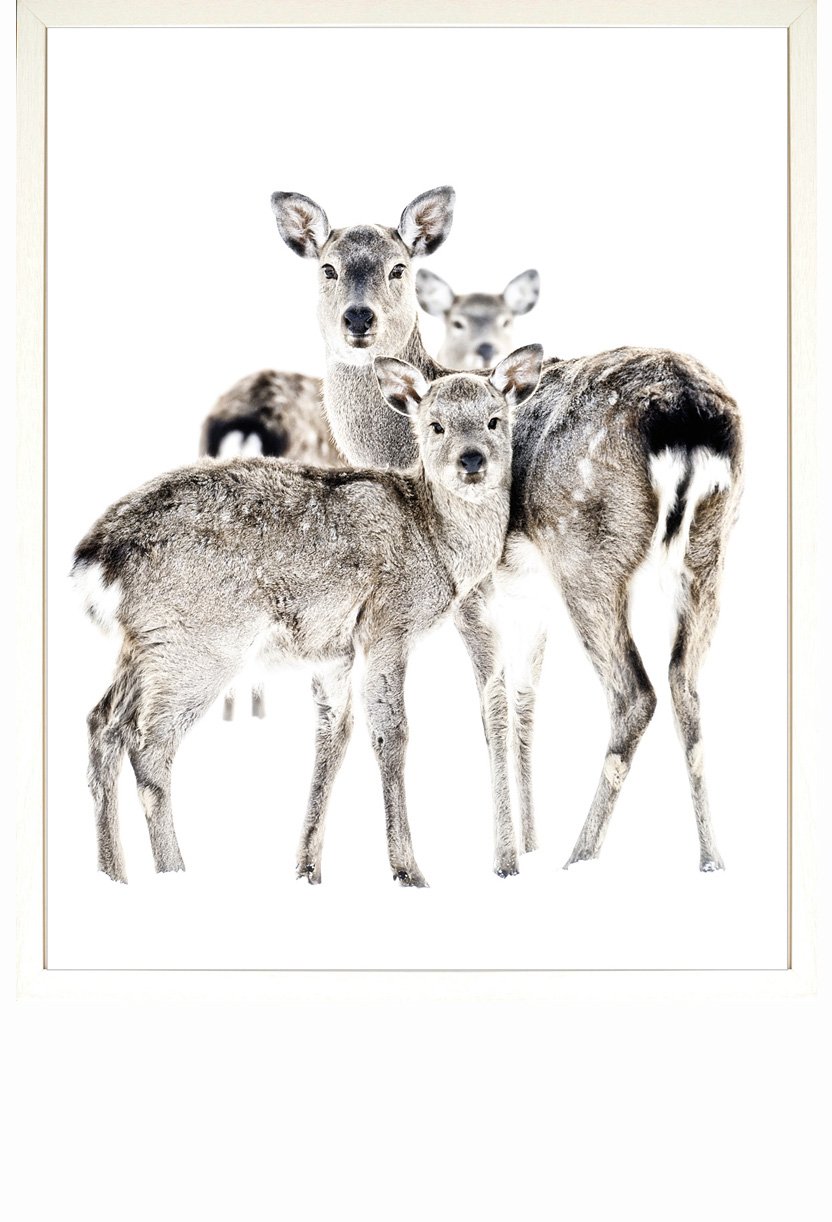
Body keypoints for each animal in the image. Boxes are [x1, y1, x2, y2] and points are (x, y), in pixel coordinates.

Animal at [73, 346, 543, 886]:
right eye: (436, 425)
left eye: (494, 420)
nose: (472, 461)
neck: (438, 546)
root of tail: (96, 560)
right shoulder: (387, 623)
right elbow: (392, 732)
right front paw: (409, 871)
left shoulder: (331, 652)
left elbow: (333, 739)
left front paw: (308, 869)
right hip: (199, 644)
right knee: (148, 746)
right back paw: (175, 870)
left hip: (143, 644)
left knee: (102, 723)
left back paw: (112, 873)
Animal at [269, 186, 743, 874]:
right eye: (327, 268)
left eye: (397, 267)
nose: (358, 320)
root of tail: (687, 415)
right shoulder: (528, 598)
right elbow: (524, 702)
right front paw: (528, 843)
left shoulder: (477, 588)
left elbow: (491, 704)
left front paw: (505, 859)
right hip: (713, 549)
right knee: (686, 681)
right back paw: (710, 860)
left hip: (589, 554)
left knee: (636, 693)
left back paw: (581, 856)